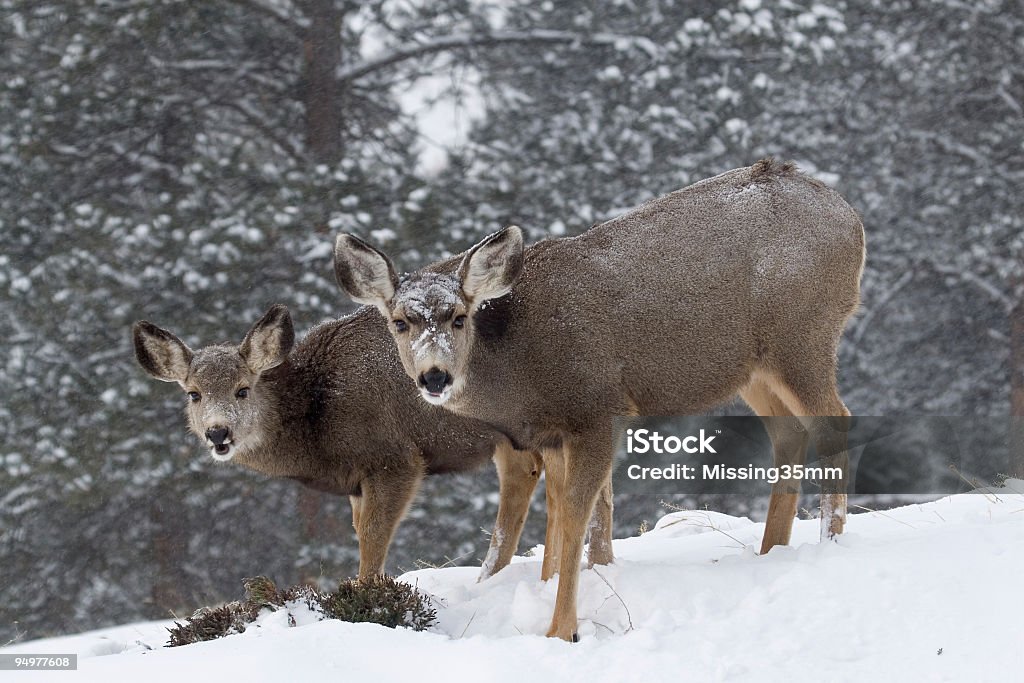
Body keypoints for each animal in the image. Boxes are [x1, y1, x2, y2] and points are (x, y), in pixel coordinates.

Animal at [131, 307, 606, 585]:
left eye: (242, 390)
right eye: (193, 393)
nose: (218, 433)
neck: (319, 412)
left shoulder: (393, 458)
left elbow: (375, 536)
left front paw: (367, 599)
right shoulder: (356, 482)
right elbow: (360, 530)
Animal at [333, 158, 864, 643]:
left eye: (460, 317)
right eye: (400, 322)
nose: (435, 376)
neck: (518, 368)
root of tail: (849, 218)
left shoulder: (596, 408)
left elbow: (576, 518)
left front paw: (561, 630)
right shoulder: (551, 434)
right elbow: (562, 516)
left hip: (802, 334)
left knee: (834, 422)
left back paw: (831, 542)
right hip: (755, 368)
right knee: (789, 432)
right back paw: (772, 551)